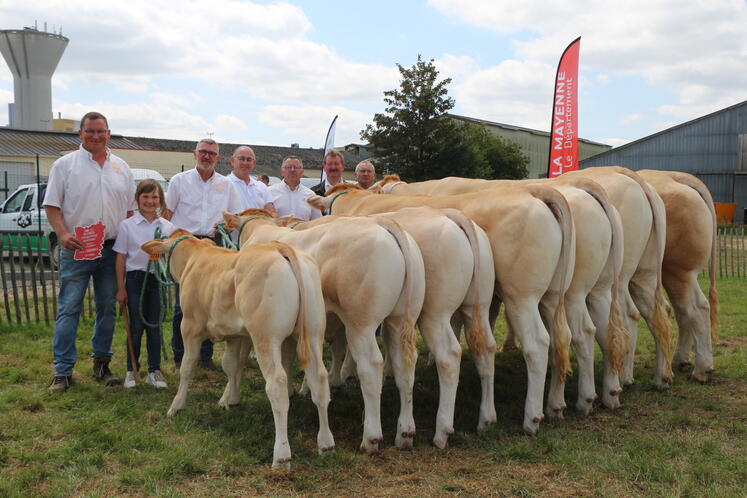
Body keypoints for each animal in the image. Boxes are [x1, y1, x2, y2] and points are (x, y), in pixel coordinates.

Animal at [142, 231, 334, 470]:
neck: (196, 257)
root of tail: (279, 247)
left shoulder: (190, 327)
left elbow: (187, 367)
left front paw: (176, 406)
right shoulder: (235, 335)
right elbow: (232, 365)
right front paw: (230, 400)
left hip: (265, 337)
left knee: (277, 386)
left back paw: (281, 456)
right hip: (314, 333)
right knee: (320, 380)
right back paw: (326, 444)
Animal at [221, 207, 426, 452]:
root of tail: (382, 222)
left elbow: (238, 360)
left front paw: (227, 397)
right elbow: (289, 358)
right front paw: (297, 389)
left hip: (361, 324)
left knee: (371, 366)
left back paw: (371, 438)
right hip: (400, 319)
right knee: (404, 364)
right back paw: (405, 432)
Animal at [306, 184, 576, 436]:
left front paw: (345, 375)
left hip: (518, 298)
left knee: (535, 344)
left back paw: (530, 418)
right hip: (543, 298)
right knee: (555, 340)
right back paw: (546, 407)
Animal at [380, 175, 632, 412]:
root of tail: (539, 191)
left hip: (530, 297)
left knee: (546, 341)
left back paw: (540, 413)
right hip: (585, 290)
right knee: (592, 331)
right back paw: (599, 394)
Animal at [636, 168, 720, 382]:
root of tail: (675, 176)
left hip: (676, 270)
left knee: (692, 309)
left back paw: (700, 370)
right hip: (682, 273)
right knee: (691, 309)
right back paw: (682, 360)